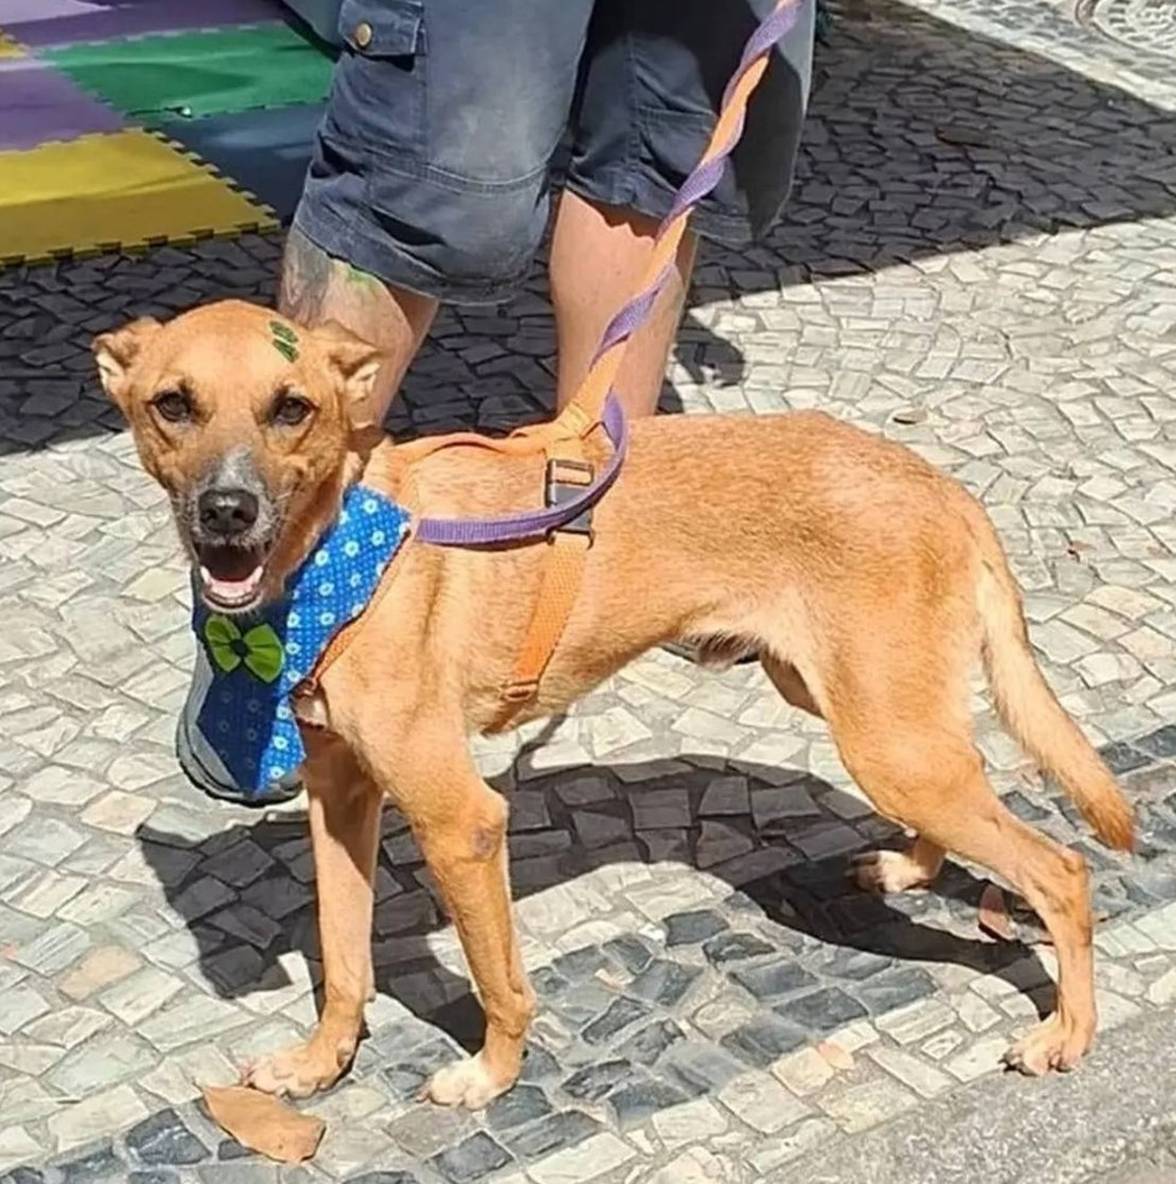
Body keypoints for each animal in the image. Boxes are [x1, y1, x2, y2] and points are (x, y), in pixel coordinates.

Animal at [94, 299, 1132, 1108]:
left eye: (293, 410)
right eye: (173, 406)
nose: (227, 512)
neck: (337, 553)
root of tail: (942, 486)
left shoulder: (461, 822)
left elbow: (500, 982)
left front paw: (494, 1076)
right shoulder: (341, 799)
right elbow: (343, 964)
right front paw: (321, 1066)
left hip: (886, 738)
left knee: (1063, 872)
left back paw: (1067, 1031)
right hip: (862, 715)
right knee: (975, 792)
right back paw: (913, 868)